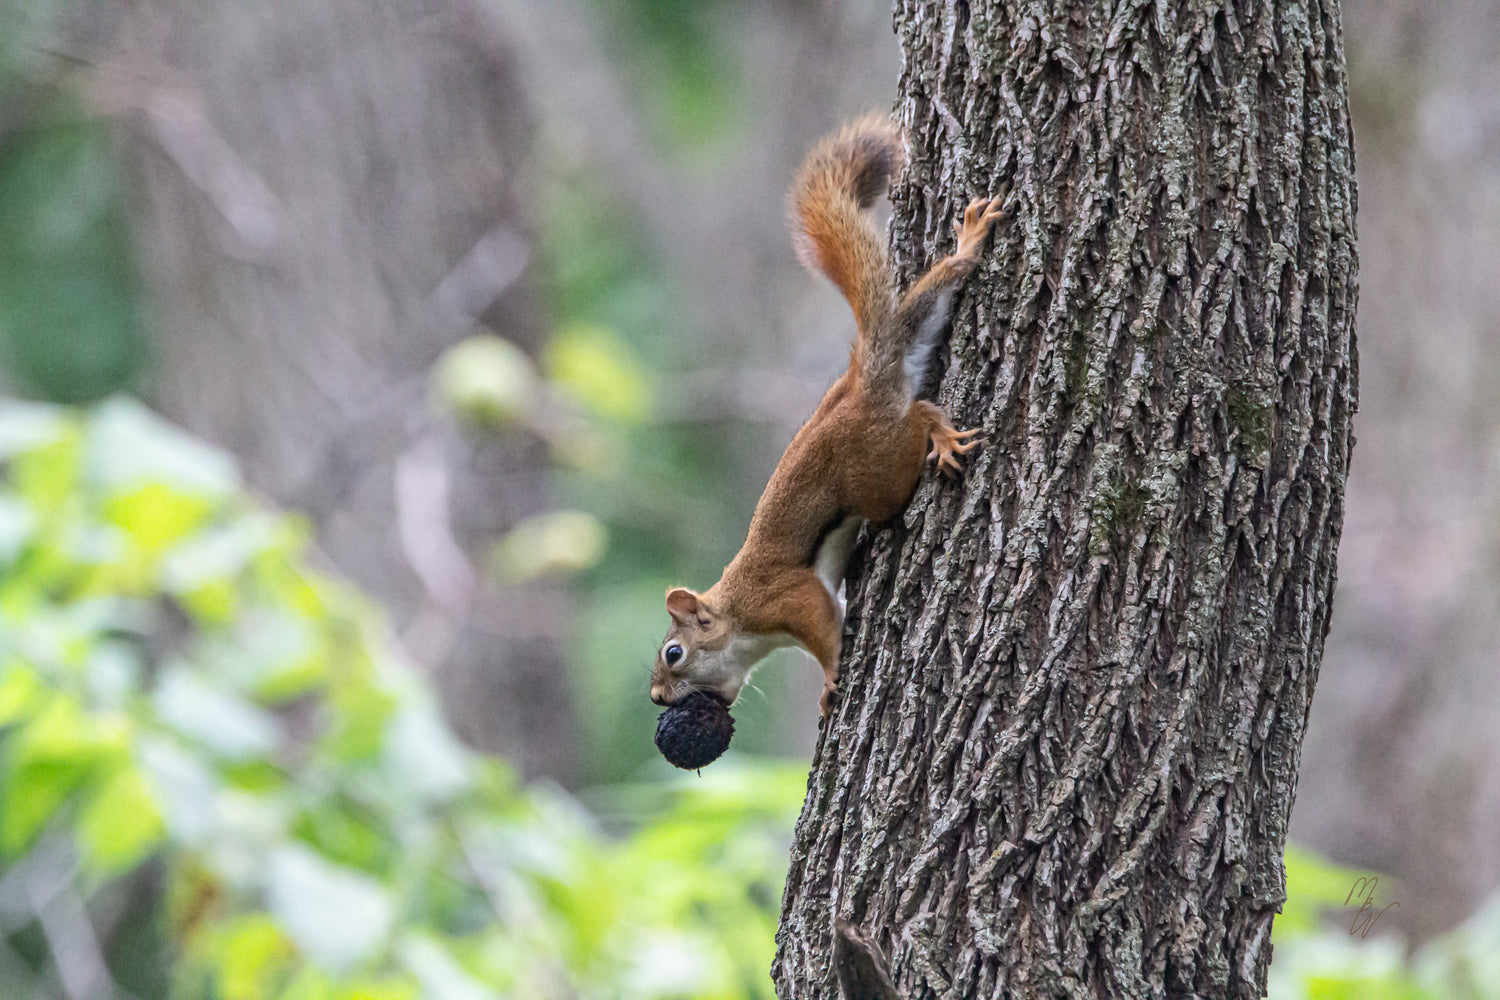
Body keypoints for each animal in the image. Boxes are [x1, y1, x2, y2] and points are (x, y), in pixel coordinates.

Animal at [651, 119, 1002, 719]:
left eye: (674, 653)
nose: (655, 697)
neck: (737, 618)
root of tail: (864, 388)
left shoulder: (785, 599)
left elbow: (821, 621)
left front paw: (832, 676)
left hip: (878, 475)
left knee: (918, 420)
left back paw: (939, 433)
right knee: (931, 297)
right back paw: (965, 248)